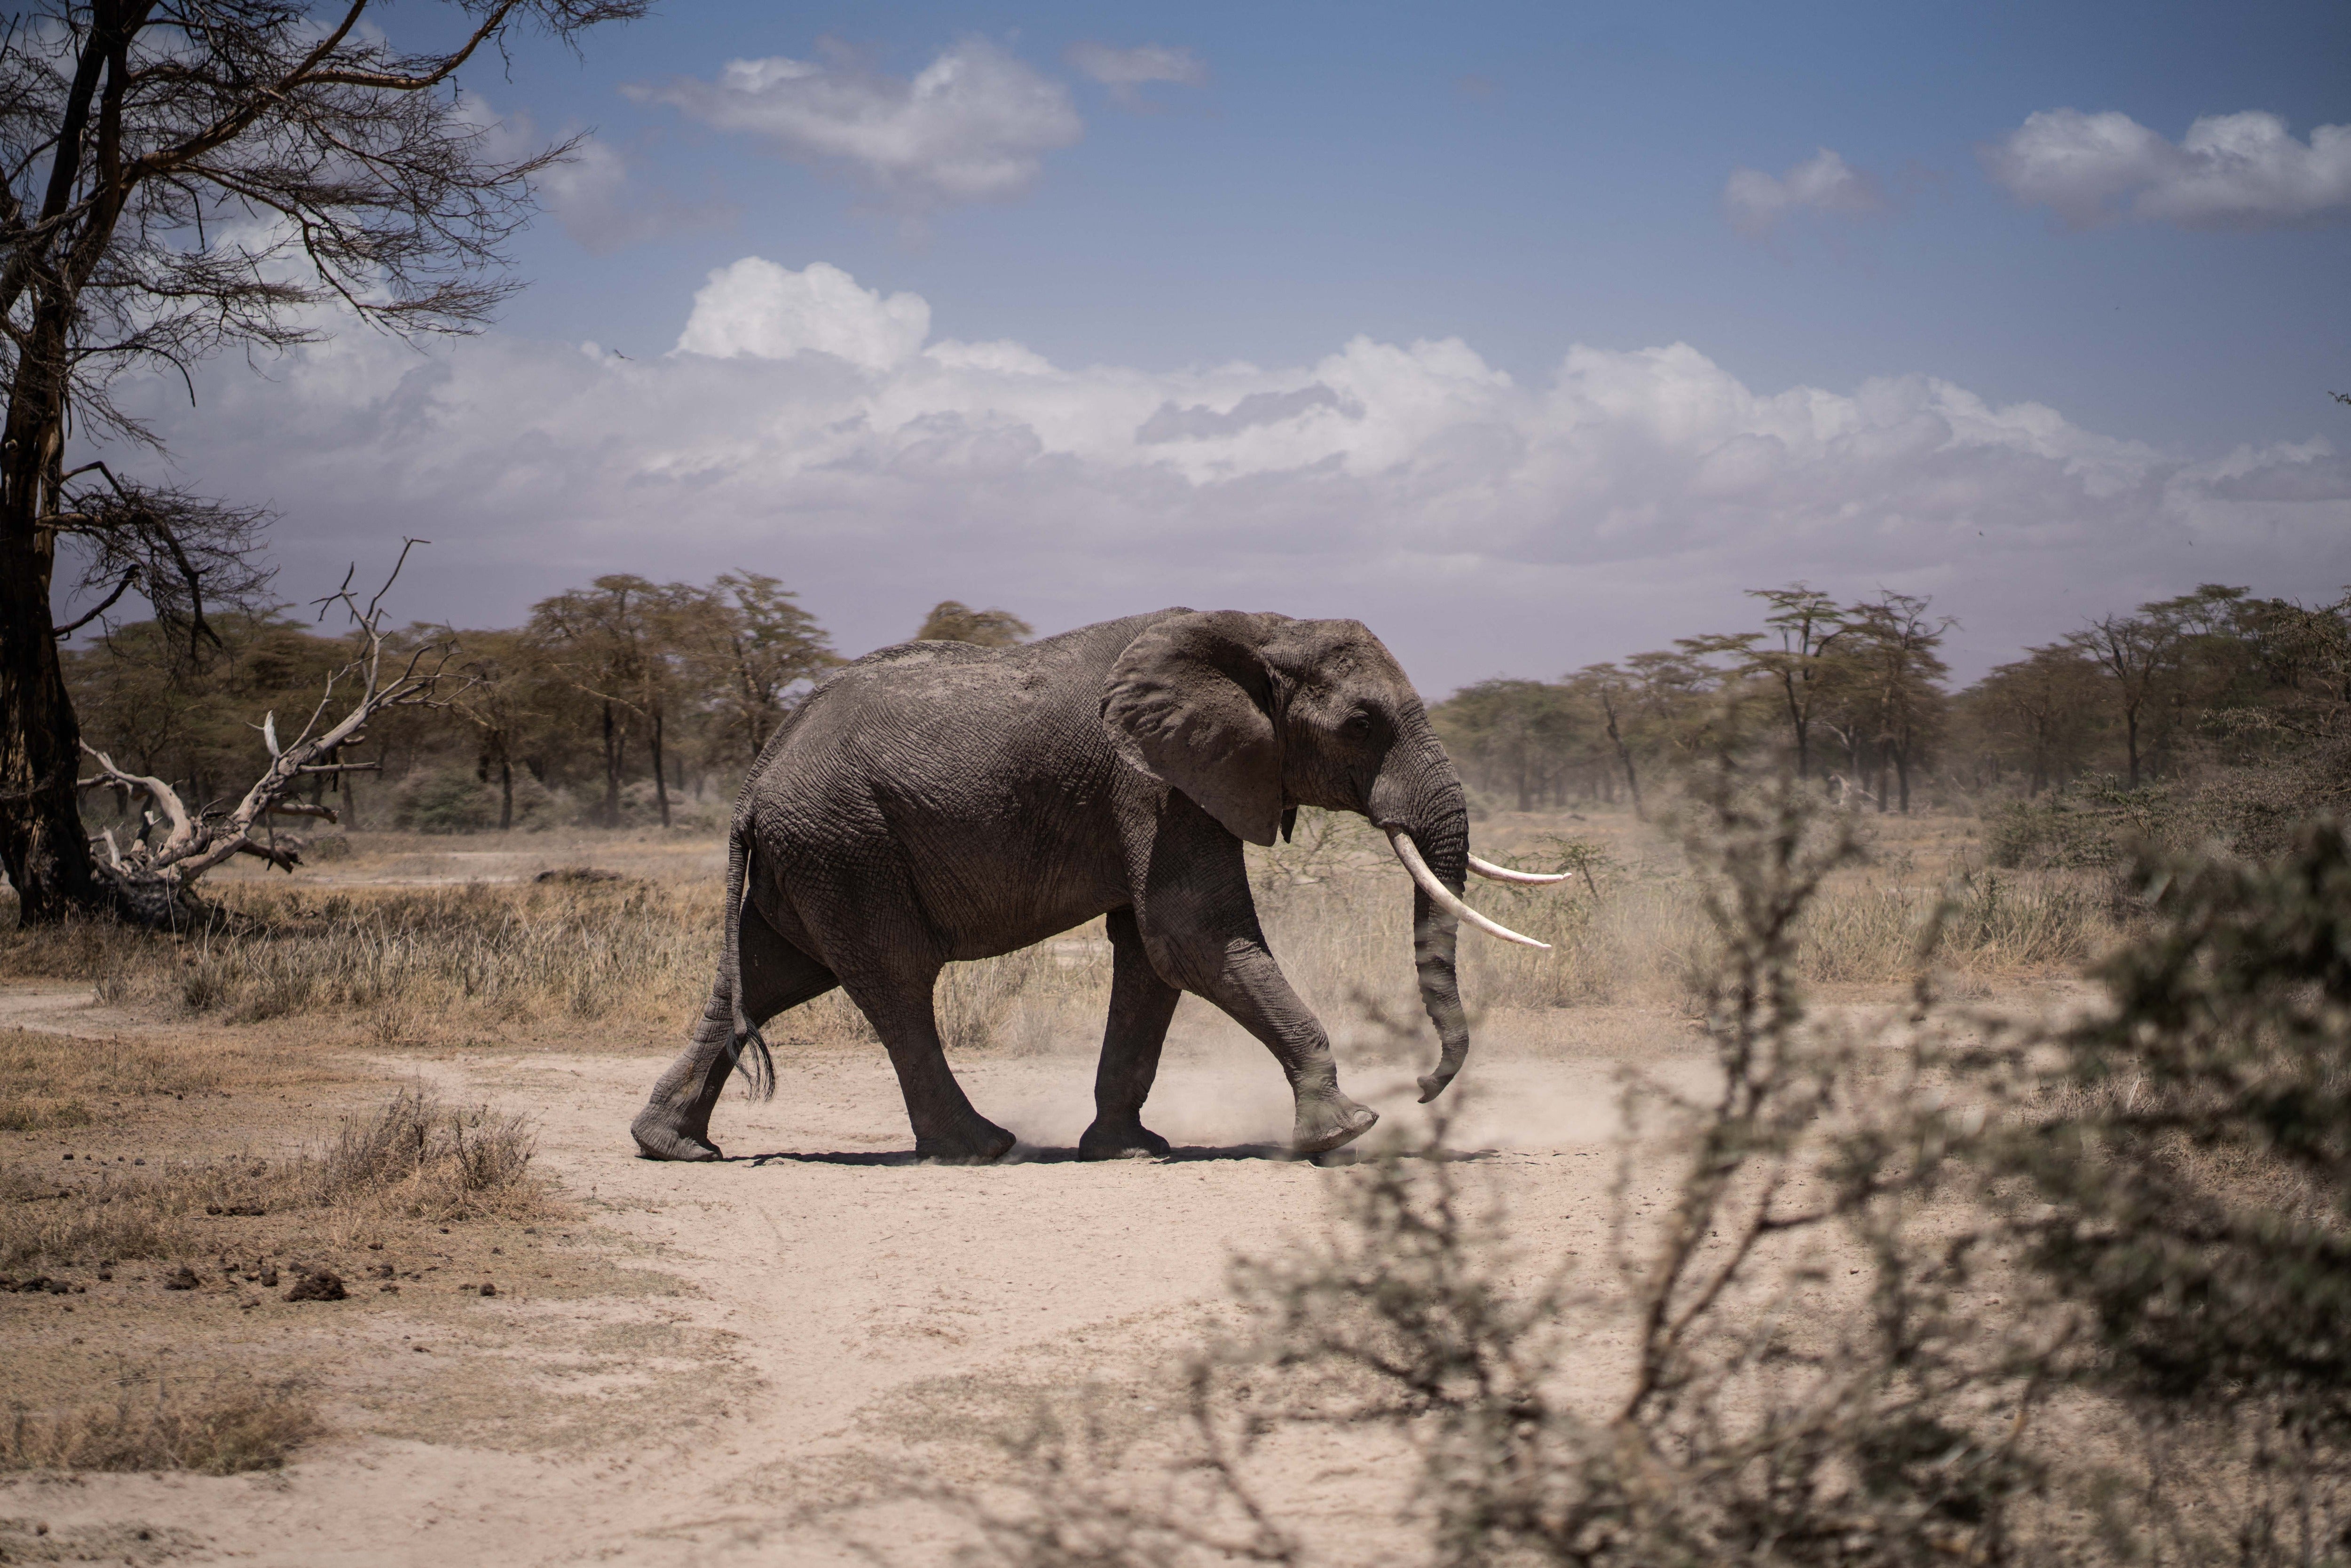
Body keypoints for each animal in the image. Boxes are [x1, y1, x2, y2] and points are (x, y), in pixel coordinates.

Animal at [628, 608, 1566, 1164]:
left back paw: (674, 1148)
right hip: (846, 843)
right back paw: (982, 1147)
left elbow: (1151, 956)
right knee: (894, 980)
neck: (1255, 628)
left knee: (770, 976)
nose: (1426, 1088)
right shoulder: (1155, 783)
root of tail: (755, 780)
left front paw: (1129, 1148)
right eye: (1361, 724)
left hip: (813, 854)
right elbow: (1190, 935)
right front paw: (1347, 1133)